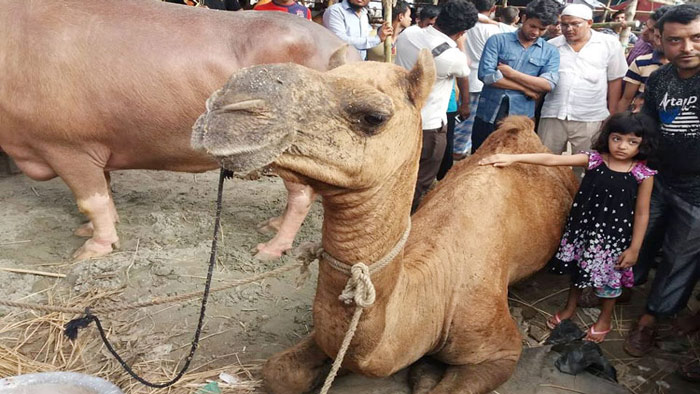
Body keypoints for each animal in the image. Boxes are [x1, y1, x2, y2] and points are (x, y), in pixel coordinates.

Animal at [0, 0, 360, 262]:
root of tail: (339, 48)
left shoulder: (66, 146)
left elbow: (91, 200)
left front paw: (92, 248)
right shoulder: (95, 146)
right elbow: (106, 187)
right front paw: (89, 230)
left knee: (301, 197)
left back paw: (271, 248)